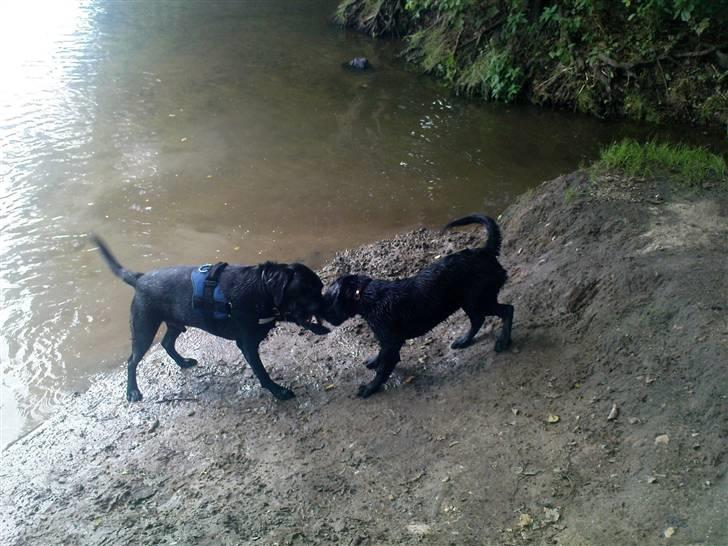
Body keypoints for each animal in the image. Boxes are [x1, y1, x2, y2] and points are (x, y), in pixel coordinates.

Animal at [92, 236, 328, 402]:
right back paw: (132, 391)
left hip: (174, 323)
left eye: (320, 287)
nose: (329, 303)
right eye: (308, 292)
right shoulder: (247, 345)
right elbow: (262, 372)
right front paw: (278, 391)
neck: (261, 289)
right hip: (144, 329)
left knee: (166, 343)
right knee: (132, 361)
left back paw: (183, 362)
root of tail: (139, 279)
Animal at [322, 215, 516, 398]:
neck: (366, 295)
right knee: (479, 319)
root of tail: (486, 251)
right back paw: (464, 340)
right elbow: (381, 355)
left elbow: (384, 367)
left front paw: (370, 388)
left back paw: (503, 340)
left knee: (507, 310)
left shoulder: (392, 342)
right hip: (470, 301)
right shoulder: (385, 339)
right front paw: (374, 362)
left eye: (328, 300)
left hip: (480, 299)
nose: (325, 319)